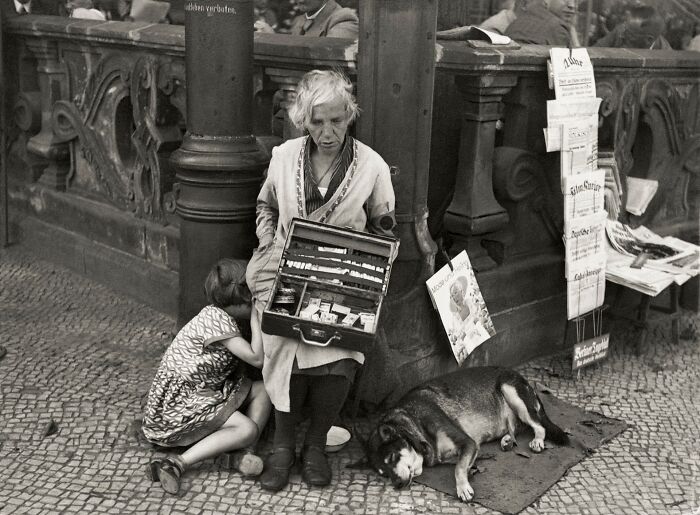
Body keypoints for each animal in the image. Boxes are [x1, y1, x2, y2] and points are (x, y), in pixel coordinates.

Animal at [356, 366, 568, 504]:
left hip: (511, 391)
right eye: (383, 474)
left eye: (392, 457)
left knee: (539, 426)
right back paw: (508, 440)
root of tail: (521, 376)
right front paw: (468, 473)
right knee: (517, 426)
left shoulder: (468, 442)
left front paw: (463, 487)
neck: (415, 422)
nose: (398, 484)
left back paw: (537, 441)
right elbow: (459, 464)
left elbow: (458, 468)